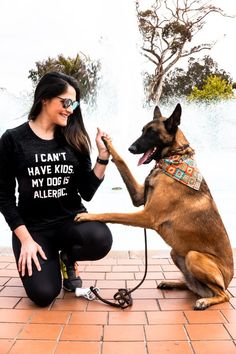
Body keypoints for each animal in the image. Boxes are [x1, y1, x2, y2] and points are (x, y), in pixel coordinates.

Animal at [74, 103, 233, 310]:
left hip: (194, 256)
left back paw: (205, 301)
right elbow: (122, 162)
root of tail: (228, 280)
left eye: (152, 133)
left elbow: (111, 213)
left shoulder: (146, 215)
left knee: (223, 294)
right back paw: (173, 283)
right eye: (142, 130)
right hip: (176, 252)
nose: (131, 147)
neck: (173, 157)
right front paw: (106, 143)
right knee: (192, 285)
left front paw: (87, 216)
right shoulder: (138, 198)